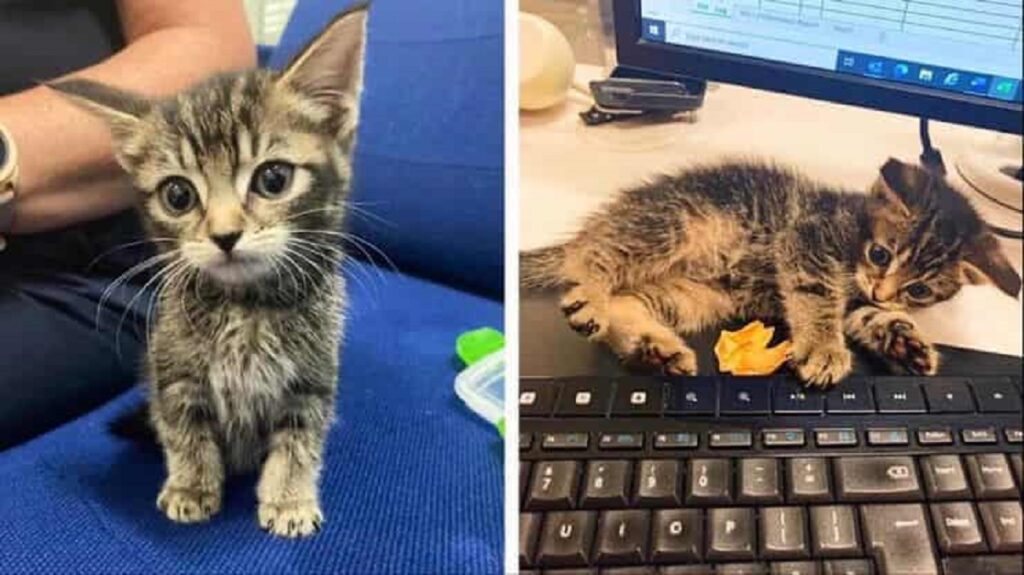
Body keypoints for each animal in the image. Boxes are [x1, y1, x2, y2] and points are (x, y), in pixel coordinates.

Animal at [48, 4, 368, 536]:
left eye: (273, 178)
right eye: (178, 195)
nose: (224, 235)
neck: (247, 306)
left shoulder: (313, 378)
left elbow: (299, 439)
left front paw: (289, 498)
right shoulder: (173, 369)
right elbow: (184, 431)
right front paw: (191, 487)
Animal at [524, 158, 1019, 386]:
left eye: (919, 290)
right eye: (881, 255)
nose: (883, 290)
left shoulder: (857, 300)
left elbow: (866, 316)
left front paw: (904, 340)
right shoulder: (807, 239)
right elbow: (817, 297)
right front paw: (823, 350)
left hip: (695, 294)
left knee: (626, 302)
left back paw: (654, 348)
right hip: (676, 224)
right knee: (593, 257)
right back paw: (589, 295)